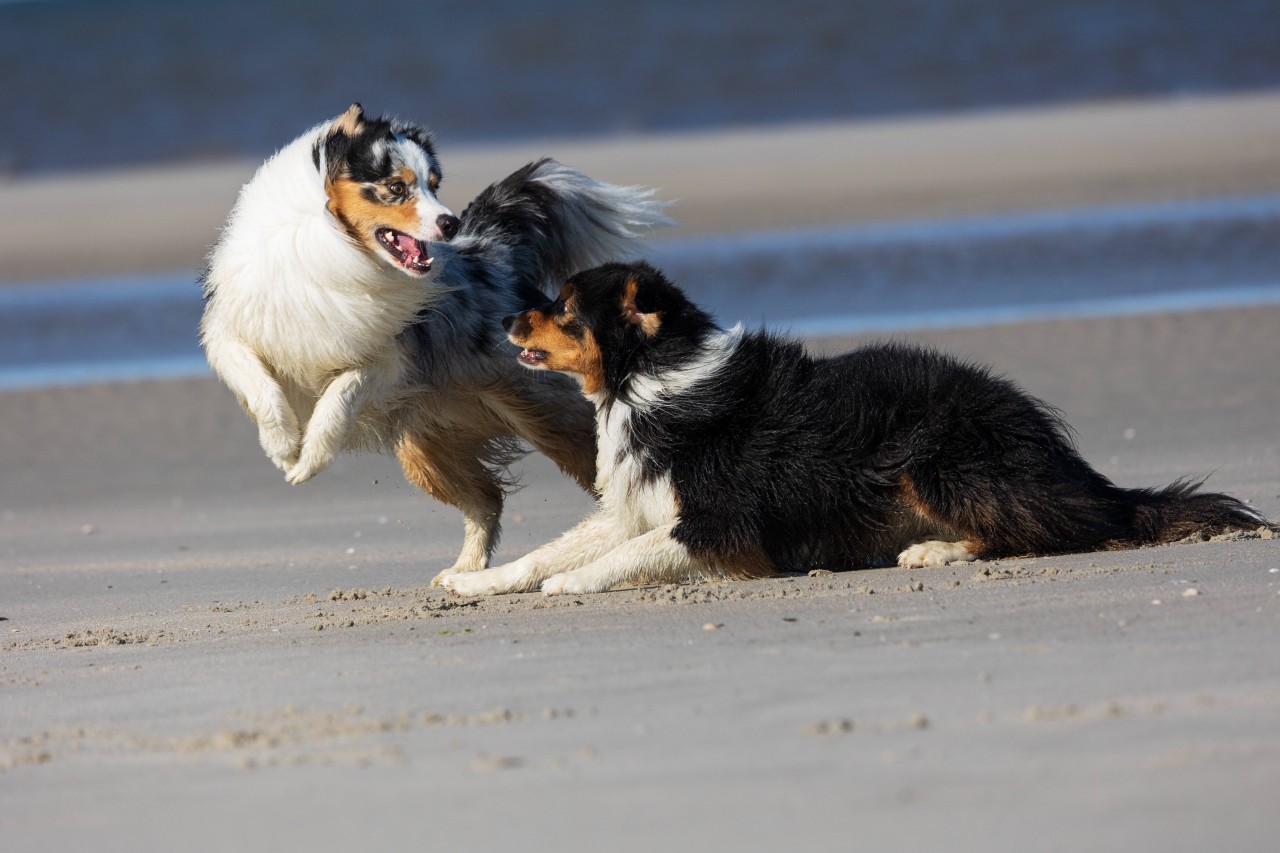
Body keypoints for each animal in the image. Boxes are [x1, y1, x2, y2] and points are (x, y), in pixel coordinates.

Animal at [199, 103, 670, 581]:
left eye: (434, 184)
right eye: (396, 187)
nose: (451, 222)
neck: (336, 245)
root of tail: (491, 251)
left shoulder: (392, 356)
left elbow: (340, 393)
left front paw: (311, 454)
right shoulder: (231, 331)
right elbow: (259, 385)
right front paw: (282, 446)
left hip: (541, 412)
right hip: (424, 444)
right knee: (486, 498)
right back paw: (464, 570)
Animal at [445, 262, 1264, 594]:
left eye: (563, 309)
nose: (507, 318)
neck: (646, 377)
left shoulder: (717, 521)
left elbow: (624, 555)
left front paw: (572, 583)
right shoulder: (637, 503)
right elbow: (548, 549)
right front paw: (475, 581)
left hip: (935, 457)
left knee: (1060, 527)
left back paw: (937, 549)